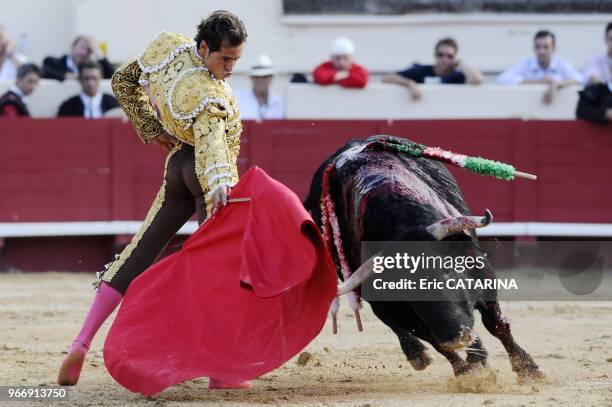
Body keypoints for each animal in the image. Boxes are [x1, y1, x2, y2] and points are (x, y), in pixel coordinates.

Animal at [304, 138, 544, 382]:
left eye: (447, 271)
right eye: (407, 291)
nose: (454, 337)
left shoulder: (483, 277)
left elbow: (496, 324)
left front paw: (529, 371)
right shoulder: (391, 305)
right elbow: (431, 338)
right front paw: (466, 371)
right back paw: (424, 356)